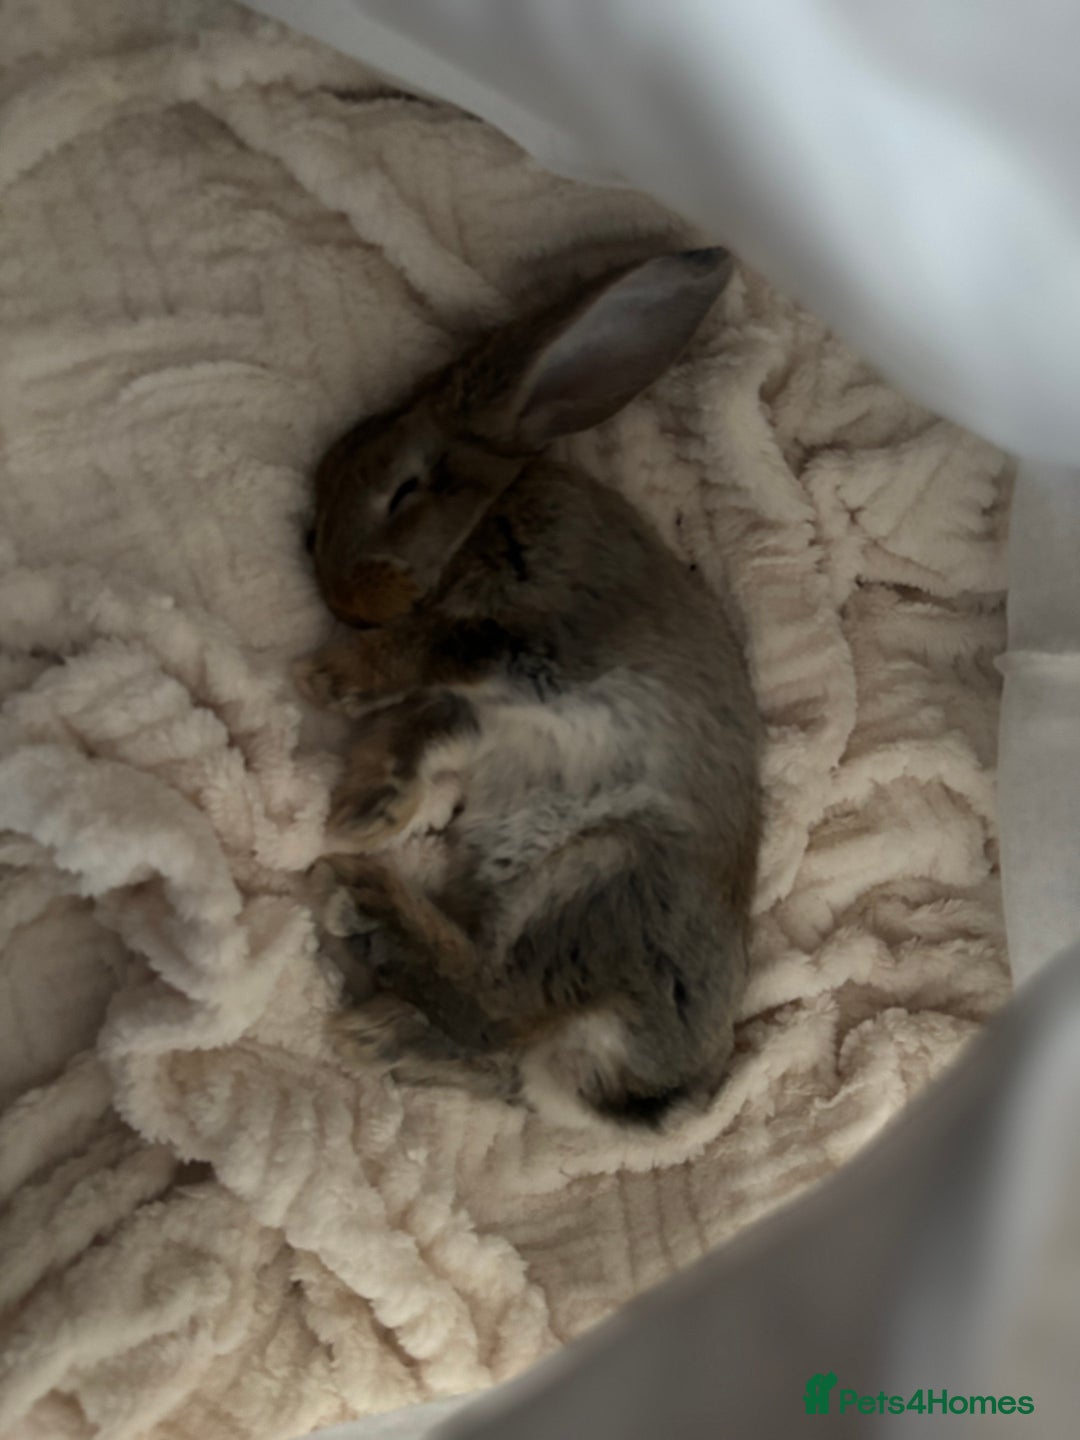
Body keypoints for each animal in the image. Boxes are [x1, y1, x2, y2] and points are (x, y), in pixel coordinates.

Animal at [295, 247, 761, 1131]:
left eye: (405, 489)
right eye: (308, 528)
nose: (345, 605)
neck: (485, 518)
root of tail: (652, 1088)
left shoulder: (539, 644)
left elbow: (436, 652)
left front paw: (335, 680)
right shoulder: (484, 713)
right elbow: (426, 736)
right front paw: (373, 813)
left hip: (600, 879)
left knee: (497, 1005)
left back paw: (356, 899)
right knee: (496, 1051)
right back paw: (374, 1032)